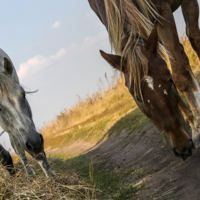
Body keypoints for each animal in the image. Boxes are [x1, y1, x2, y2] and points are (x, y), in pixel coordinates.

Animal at [89, 0, 200, 159]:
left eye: (170, 82)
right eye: (137, 98)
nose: (182, 146)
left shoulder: (162, 13)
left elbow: (180, 76)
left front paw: (197, 127)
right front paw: (192, 123)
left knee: (194, 38)